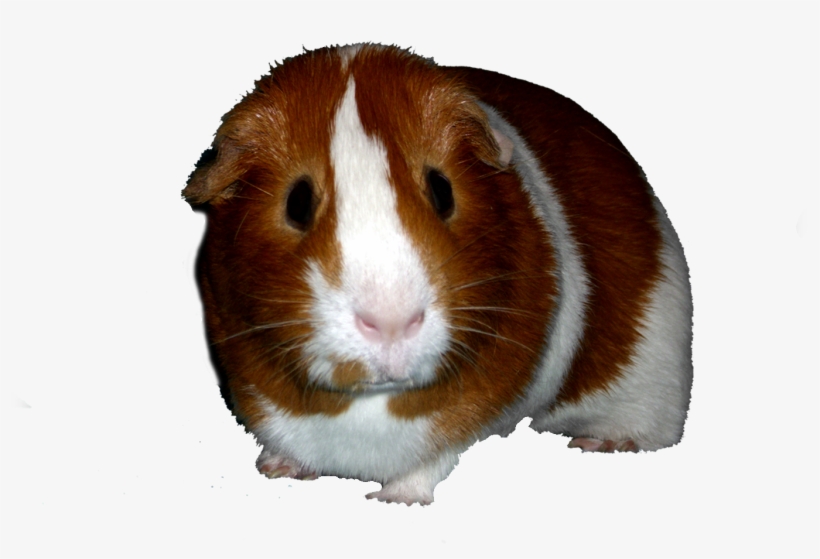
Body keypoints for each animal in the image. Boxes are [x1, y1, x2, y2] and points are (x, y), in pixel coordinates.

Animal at [182, 44, 693, 505]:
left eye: (443, 190)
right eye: (297, 202)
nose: (391, 322)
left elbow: (428, 463)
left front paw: (395, 501)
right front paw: (278, 469)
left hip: (651, 382)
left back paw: (600, 443)